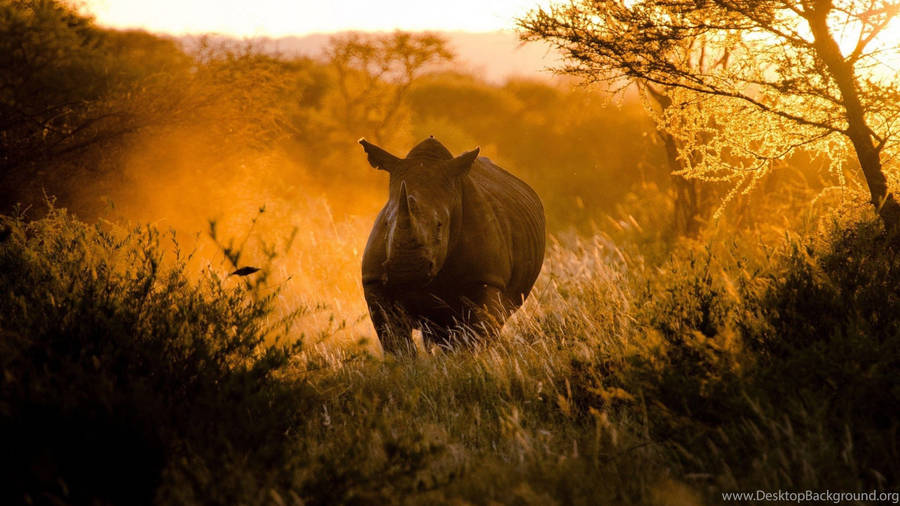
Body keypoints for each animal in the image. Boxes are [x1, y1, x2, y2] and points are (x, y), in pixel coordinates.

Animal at [360, 136, 544, 354]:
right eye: (387, 224)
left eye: (440, 225)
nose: (406, 269)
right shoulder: (374, 281)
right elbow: (394, 338)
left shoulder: (486, 278)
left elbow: (476, 333)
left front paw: (470, 359)